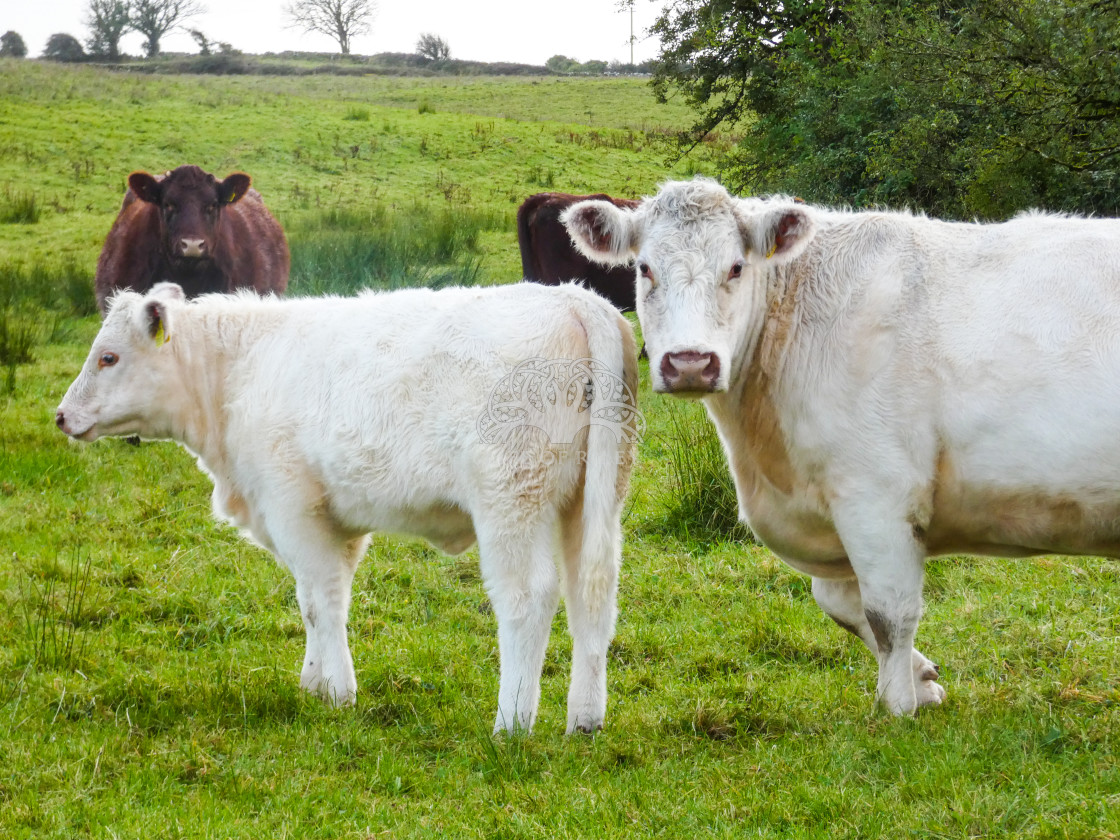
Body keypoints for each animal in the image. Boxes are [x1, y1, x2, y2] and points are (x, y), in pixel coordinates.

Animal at [59, 283, 640, 734]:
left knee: (528, 598)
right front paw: (313, 681)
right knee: (592, 594)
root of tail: (573, 297)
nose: (62, 415)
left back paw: (512, 724)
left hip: (511, 501)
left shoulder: (293, 507)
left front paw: (338, 692)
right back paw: (586, 719)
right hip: (592, 500)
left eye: (108, 356)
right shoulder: (335, 521)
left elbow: (323, 600)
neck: (243, 371)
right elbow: (312, 599)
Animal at [564, 175, 1120, 716]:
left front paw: (898, 706)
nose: (690, 363)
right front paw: (922, 680)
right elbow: (840, 604)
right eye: (644, 269)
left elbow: (888, 612)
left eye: (736, 267)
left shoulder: (877, 495)